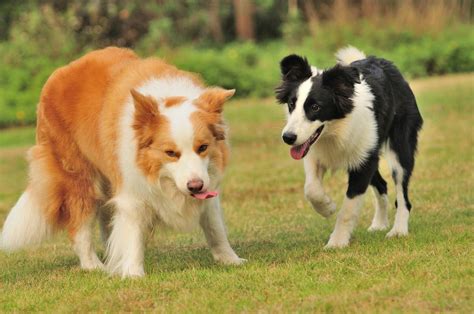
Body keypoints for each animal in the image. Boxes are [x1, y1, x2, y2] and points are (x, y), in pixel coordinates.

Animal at [0, 46, 244, 278]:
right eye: (170, 153)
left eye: (203, 148)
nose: (195, 186)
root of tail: (60, 71)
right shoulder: (130, 185)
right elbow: (132, 228)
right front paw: (133, 273)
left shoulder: (209, 181)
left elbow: (214, 225)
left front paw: (230, 259)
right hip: (79, 177)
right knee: (80, 226)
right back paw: (93, 265)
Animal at [276, 46, 424, 248]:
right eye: (292, 104)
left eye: (315, 107)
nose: (288, 138)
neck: (335, 130)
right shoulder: (315, 153)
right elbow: (311, 189)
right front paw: (328, 208)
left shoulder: (363, 163)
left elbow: (348, 207)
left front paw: (337, 242)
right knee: (382, 184)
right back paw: (379, 223)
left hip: (398, 145)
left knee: (402, 190)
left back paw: (398, 230)